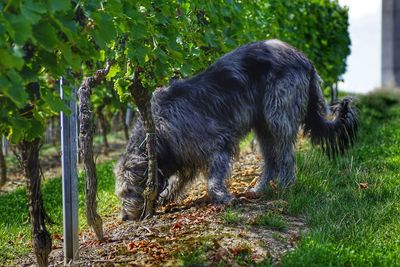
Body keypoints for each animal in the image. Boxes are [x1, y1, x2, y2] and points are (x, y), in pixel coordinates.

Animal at [114, 39, 358, 220]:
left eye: (128, 191)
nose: (124, 218)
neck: (158, 132)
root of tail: (304, 58)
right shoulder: (184, 155)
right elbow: (178, 180)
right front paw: (165, 197)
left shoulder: (218, 143)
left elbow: (213, 178)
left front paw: (222, 198)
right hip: (262, 124)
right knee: (271, 159)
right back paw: (259, 189)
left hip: (278, 112)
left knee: (285, 154)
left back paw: (285, 187)